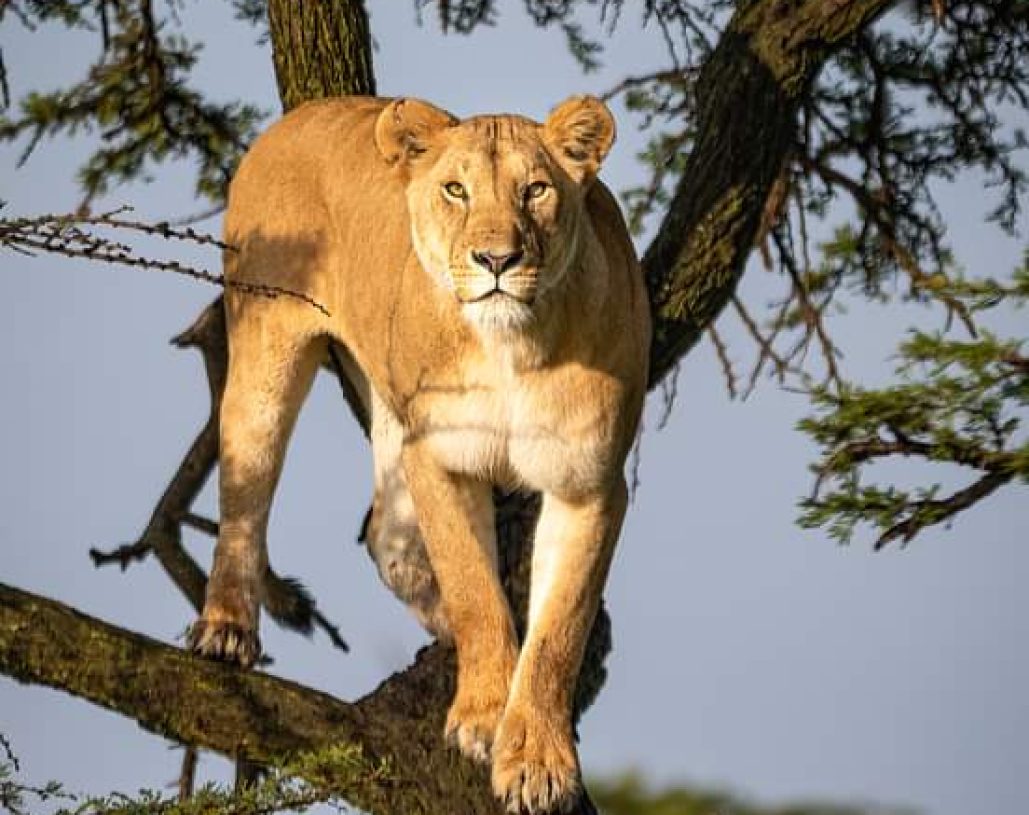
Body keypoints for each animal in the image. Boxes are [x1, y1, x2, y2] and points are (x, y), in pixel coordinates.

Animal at [188, 94, 650, 814]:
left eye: (536, 190)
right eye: (456, 190)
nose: (496, 258)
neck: (511, 345)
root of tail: (300, 114)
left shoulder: (588, 482)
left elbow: (558, 628)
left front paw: (536, 758)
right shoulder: (442, 457)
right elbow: (472, 589)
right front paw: (485, 716)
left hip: (387, 404)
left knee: (390, 536)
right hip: (265, 345)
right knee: (246, 487)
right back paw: (227, 628)